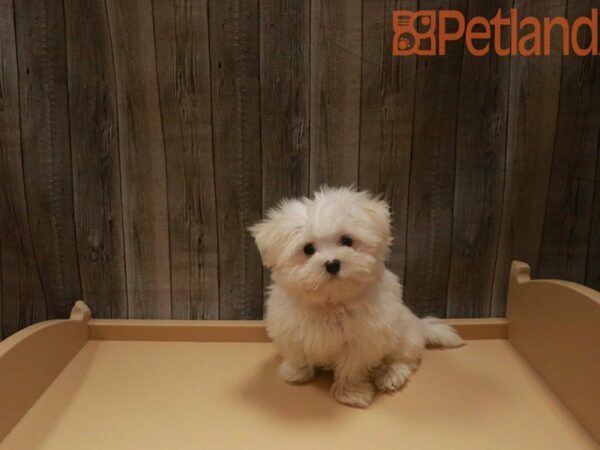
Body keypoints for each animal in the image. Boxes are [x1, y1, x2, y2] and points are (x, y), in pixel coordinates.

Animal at [248, 186, 464, 408]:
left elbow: (351, 368)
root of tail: (420, 325)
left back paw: (390, 374)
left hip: (403, 338)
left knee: (404, 359)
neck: (331, 303)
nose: (332, 264)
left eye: (347, 241)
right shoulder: (291, 329)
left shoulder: (362, 342)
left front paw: (351, 393)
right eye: (308, 249)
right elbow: (297, 354)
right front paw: (295, 373)